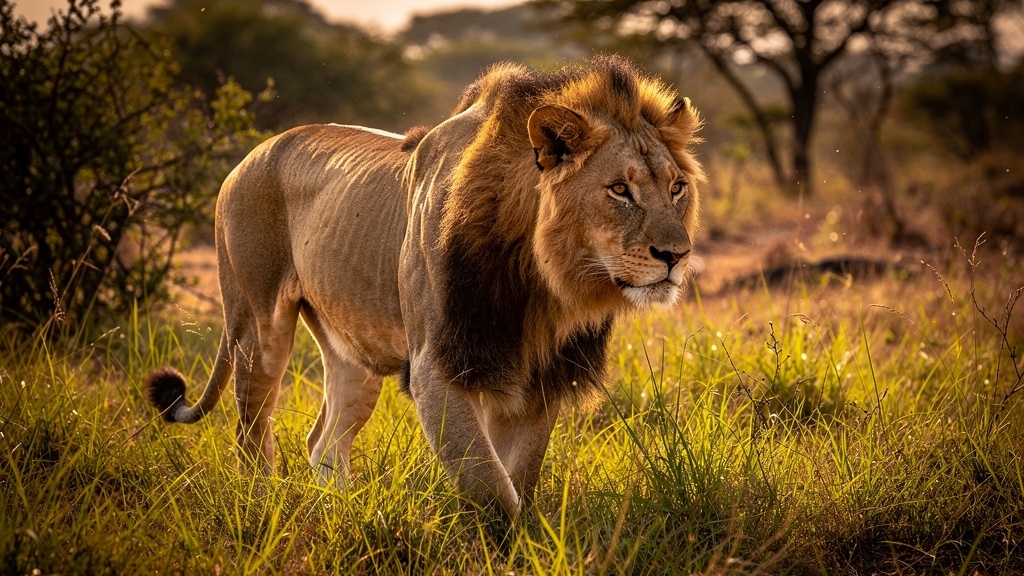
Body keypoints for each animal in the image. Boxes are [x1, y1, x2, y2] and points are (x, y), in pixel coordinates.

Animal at [145, 55, 704, 517]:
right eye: (619, 190)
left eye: (676, 187)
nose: (676, 256)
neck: (542, 285)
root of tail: (248, 155)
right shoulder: (439, 368)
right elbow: (492, 489)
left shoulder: (539, 383)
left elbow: (517, 478)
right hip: (254, 323)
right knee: (251, 432)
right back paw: (263, 505)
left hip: (352, 348)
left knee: (323, 441)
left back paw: (342, 514)